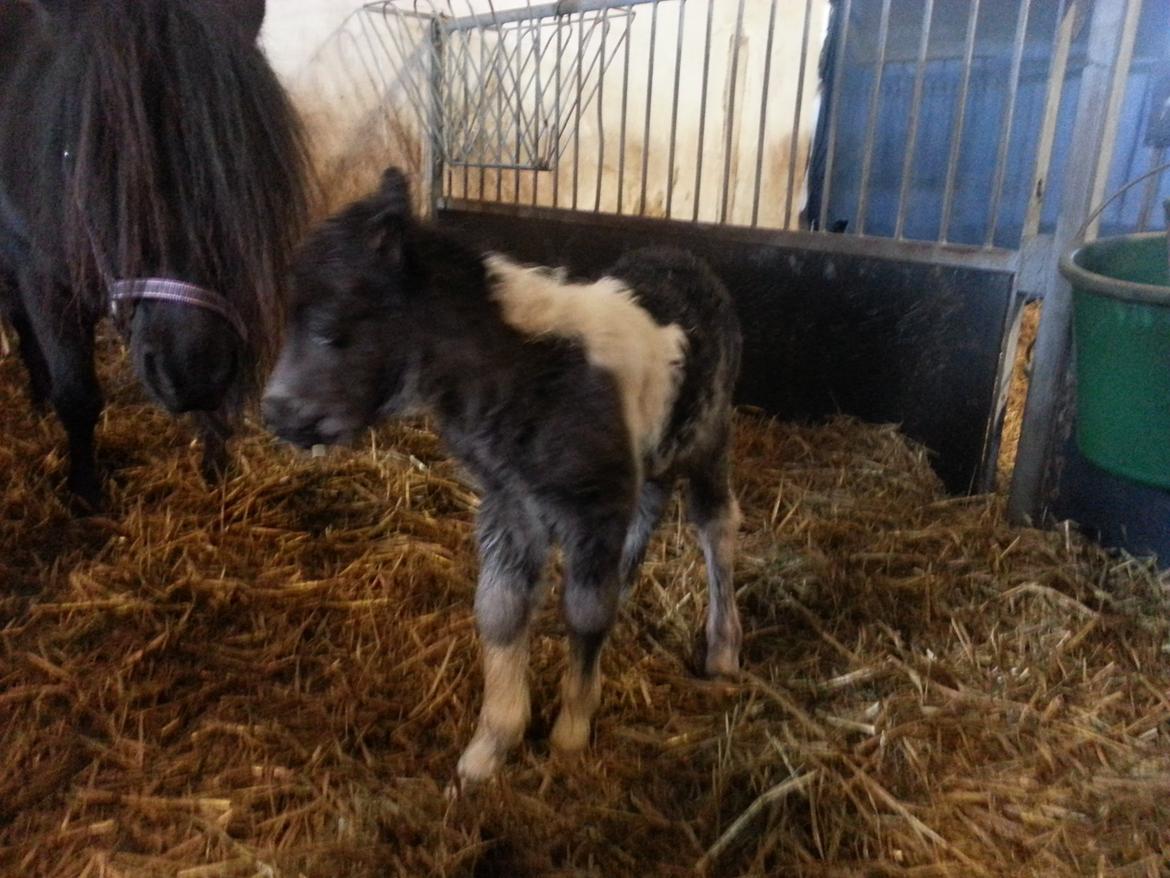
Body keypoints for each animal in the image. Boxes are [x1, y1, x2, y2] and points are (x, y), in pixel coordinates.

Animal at [0, 0, 311, 508]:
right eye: (91, 156)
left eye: (237, 153)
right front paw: (86, 496)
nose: (191, 372)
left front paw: (217, 473)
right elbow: (78, 396)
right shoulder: (43, 278)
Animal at [264, 169, 739, 782]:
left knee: (715, 527)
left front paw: (570, 734)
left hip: (709, 438)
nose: (274, 413)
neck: (529, 372)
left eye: (329, 328)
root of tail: (688, 258)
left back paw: (723, 650)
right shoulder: (510, 504)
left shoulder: (591, 507)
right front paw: (489, 747)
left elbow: (585, 610)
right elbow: (499, 608)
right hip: (650, 454)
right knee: (649, 509)